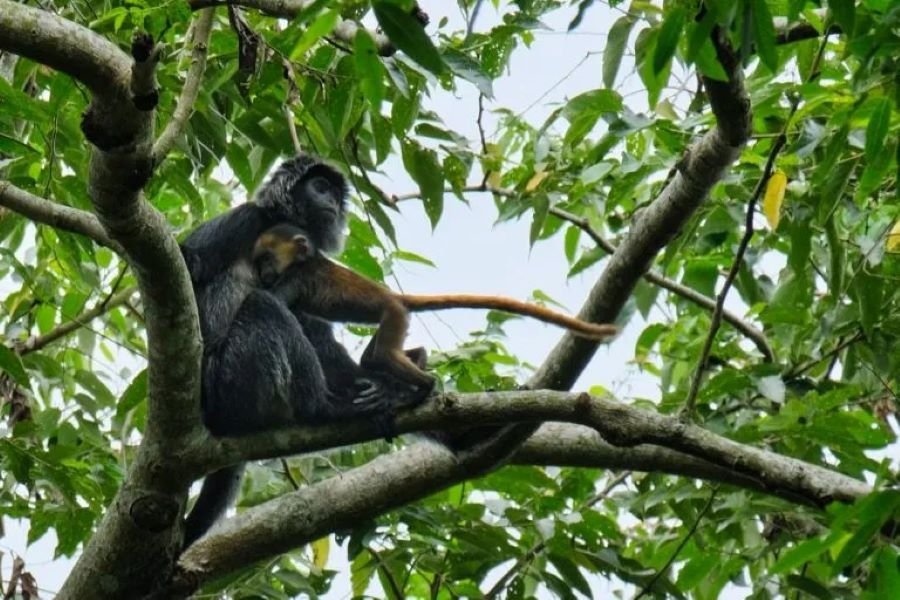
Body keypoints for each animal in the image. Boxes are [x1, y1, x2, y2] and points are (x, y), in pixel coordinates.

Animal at [253, 223, 618, 390]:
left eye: (268, 259)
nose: (263, 272)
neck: (303, 261)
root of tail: (397, 297)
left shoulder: (296, 277)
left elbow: (274, 301)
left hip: (394, 315)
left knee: (381, 355)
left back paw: (424, 386)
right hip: (396, 319)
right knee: (374, 359)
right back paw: (417, 361)